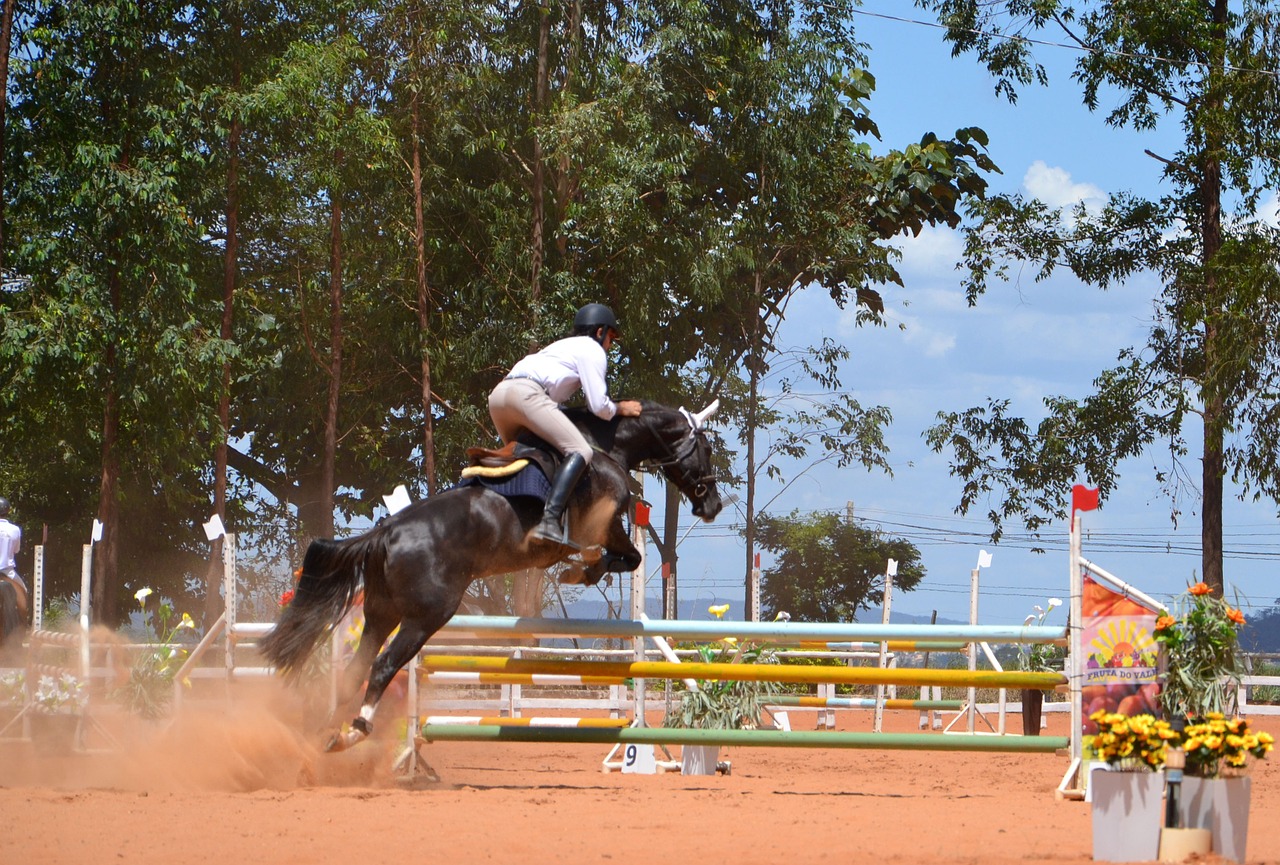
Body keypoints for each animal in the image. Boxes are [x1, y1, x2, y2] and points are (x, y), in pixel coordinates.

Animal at [258, 396, 721, 752]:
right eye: (706, 448)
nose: (713, 505)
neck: (603, 447)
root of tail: (386, 531)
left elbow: (622, 559)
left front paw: (581, 569)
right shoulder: (605, 523)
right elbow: (627, 557)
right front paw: (581, 570)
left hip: (380, 612)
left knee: (358, 668)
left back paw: (327, 733)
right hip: (426, 615)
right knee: (385, 664)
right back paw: (354, 731)